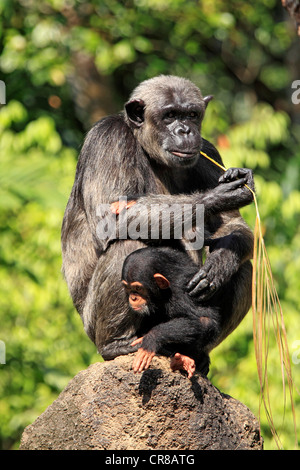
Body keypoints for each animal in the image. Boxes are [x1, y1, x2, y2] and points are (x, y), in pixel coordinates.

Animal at [62, 73, 254, 362]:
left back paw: (194, 354)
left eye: (192, 114)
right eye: (170, 115)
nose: (185, 130)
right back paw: (115, 344)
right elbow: (111, 218)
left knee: (244, 266)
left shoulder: (209, 152)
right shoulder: (108, 140)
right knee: (127, 244)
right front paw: (218, 195)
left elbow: (232, 226)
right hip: (92, 325)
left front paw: (219, 264)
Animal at [121, 246, 223, 378]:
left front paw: (150, 338)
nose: (133, 297)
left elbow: (205, 318)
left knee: (205, 322)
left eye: (138, 288)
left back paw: (182, 360)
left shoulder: (183, 290)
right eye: (128, 288)